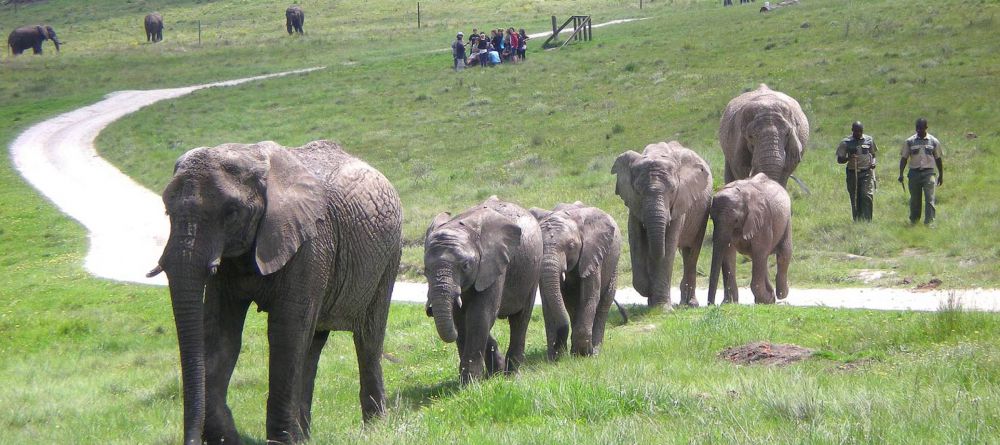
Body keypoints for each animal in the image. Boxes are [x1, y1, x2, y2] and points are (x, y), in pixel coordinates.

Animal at [146, 140, 402, 444]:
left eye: (231, 213)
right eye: (167, 211)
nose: (192, 440)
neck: (250, 157)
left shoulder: (311, 243)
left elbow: (285, 331)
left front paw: (280, 441)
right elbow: (221, 335)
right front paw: (228, 437)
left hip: (388, 259)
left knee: (367, 338)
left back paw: (374, 428)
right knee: (312, 345)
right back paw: (305, 437)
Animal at [424, 196, 542, 384]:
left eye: (465, 265)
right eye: (425, 270)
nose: (430, 311)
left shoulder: (494, 263)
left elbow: (479, 315)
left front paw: (470, 384)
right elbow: (460, 318)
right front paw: (478, 380)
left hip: (533, 271)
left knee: (521, 319)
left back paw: (512, 375)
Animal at [529, 202, 622, 360]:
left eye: (571, 246)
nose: (557, 345)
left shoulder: (592, 253)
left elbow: (590, 296)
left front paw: (583, 354)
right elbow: (547, 302)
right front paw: (555, 358)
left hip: (613, 263)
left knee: (604, 302)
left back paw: (594, 351)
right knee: (572, 306)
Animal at [611, 141, 713, 308]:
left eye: (673, 190)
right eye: (638, 191)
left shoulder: (680, 200)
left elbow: (669, 244)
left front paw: (663, 308)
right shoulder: (633, 204)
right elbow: (635, 238)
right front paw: (652, 299)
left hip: (703, 210)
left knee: (692, 251)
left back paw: (689, 304)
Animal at [707, 173, 792, 305]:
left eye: (736, 220)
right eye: (712, 219)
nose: (711, 304)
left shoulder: (763, 220)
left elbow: (760, 251)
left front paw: (766, 300)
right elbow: (728, 253)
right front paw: (729, 303)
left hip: (786, 220)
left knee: (782, 254)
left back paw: (780, 294)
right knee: (760, 259)